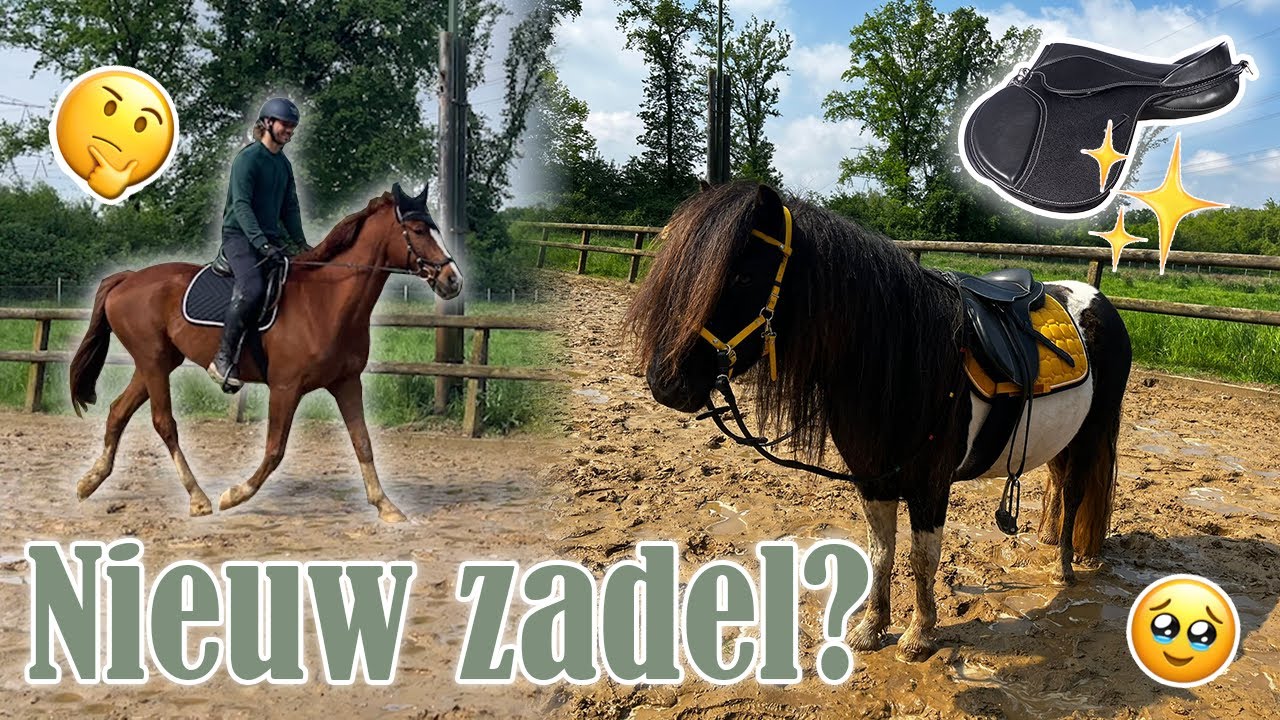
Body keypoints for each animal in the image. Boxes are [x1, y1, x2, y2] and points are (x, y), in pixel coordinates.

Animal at [68, 183, 462, 522]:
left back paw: (89, 482)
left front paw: (386, 506)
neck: (327, 301)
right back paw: (198, 498)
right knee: (164, 423)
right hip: (153, 362)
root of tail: (127, 279)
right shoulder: (285, 388)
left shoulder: (347, 382)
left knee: (118, 411)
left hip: (157, 362)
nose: (453, 280)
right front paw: (234, 495)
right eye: (418, 230)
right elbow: (275, 450)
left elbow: (362, 443)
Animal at [625, 182, 1131, 661]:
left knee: (1075, 492)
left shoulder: (930, 486)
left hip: (1092, 432)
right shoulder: (873, 479)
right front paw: (872, 627)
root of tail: (1100, 302)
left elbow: (922, 558)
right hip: (1063, 437)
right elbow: (880, 552)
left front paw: (919, 636)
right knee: (1060, 482)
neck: (904, 357)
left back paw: (1064, 567)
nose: (665, 382)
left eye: (743, 275)